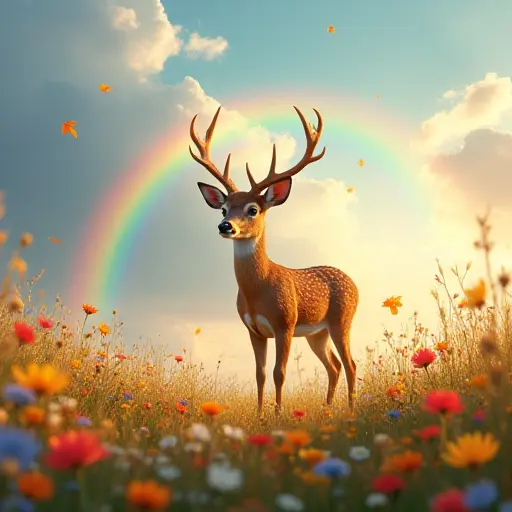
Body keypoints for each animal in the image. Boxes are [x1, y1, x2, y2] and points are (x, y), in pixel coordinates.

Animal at [190, 106, 358, 414]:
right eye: (223, 209)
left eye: (253, 209)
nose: (225, 226)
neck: (258, 291)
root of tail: (354, 283)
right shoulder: (254, 330)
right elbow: (260, 374)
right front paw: (259, 415)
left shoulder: (285, 323)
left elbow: (280, 372)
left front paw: (278, 414)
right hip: (318, 333)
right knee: (334, 366)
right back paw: (327, 409)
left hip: (342, 319)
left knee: (350, 364)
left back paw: (350, 410)